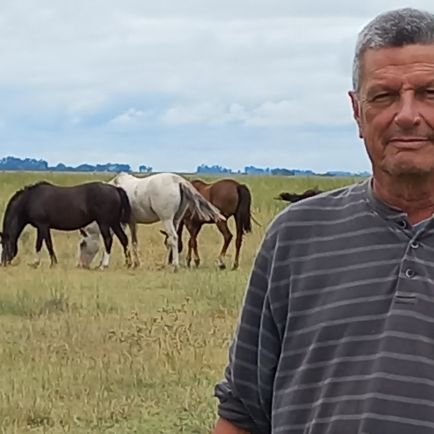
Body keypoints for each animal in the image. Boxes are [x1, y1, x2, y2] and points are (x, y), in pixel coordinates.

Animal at [0, 180, 132, 268]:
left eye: (4, 245)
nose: (3, 263)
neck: (30, 200)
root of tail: (116, 189)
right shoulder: (41, 227)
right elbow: (40, 244)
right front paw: (37, 263)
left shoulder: (43, 225)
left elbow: (46, 244)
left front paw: (52, 263)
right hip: (114, 222)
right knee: (123, 239)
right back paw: (128, 263)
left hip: (104, 223)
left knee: (108, 240)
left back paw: (104, 265)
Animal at [77, 171, 225, 270]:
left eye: (82, 244)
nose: (81, 265)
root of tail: (178, 181)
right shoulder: (131, 222)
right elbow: (133, 242)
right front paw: (135, 263)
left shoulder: (119, 223)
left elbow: (116, 239)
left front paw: (105, 263)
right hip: (175, 220)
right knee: (170, 240)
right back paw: (165, 264)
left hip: (166, 219)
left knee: (173, 238)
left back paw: (175, 265)